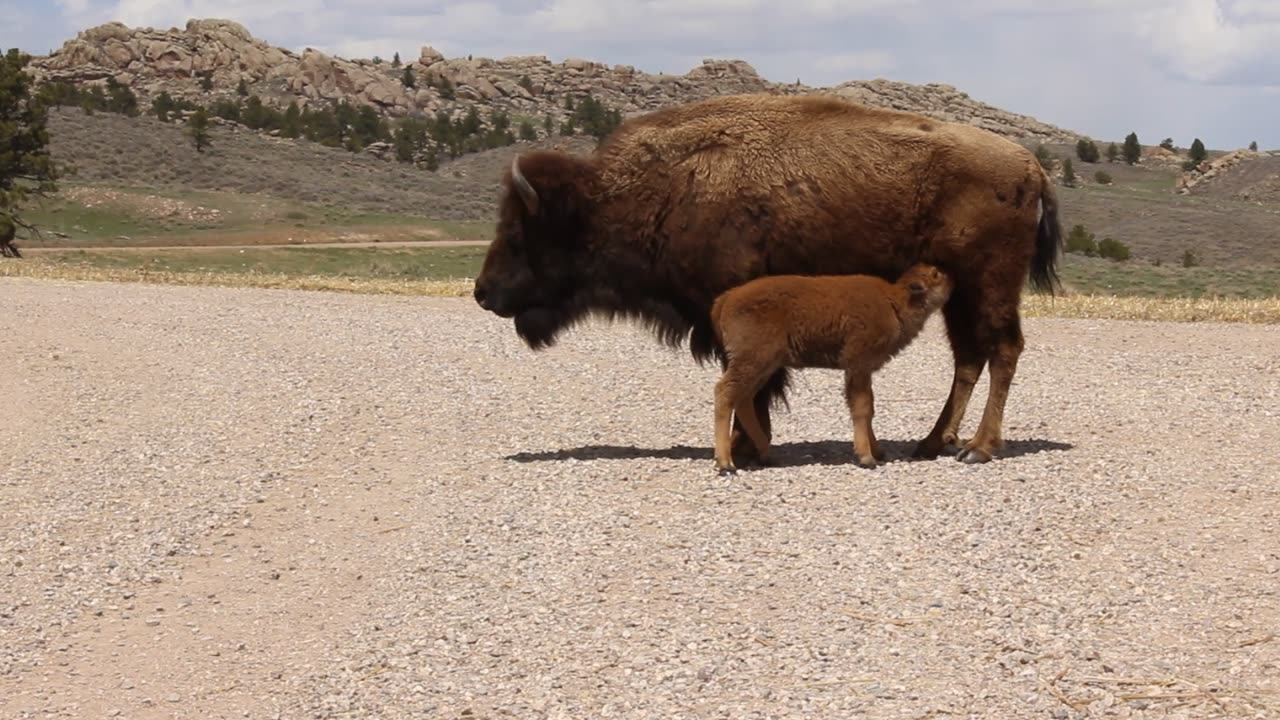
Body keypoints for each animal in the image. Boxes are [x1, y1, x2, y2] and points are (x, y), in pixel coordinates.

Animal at [711, 262, 952, 471]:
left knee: (742, 400)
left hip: (763, 367)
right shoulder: (858, 365)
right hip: (752, 361)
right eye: (935, 274)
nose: (951, 280)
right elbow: (862, 408)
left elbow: (868, 407)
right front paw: (867, 458)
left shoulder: (863, 370)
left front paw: (878, 452)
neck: (894, 302)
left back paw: (766, 454)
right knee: (725, 392)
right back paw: (726, 463)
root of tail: (727, 298)